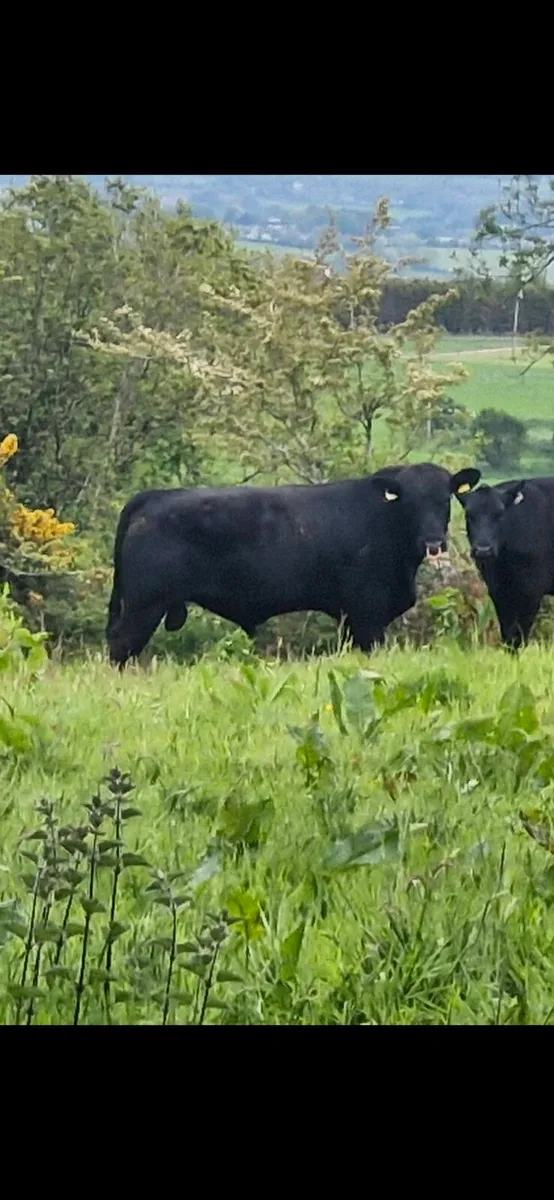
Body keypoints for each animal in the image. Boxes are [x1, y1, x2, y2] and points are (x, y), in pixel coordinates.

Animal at [106, 461, 481, 667]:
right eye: (410, 502)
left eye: (444, 499)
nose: (433, 542)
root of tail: (155, 496)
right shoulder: (366, 614)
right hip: (143, 606)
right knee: (120, 648)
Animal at [456, 477, 554, 649]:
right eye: (468, 515)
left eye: (499, 514)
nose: (483, 550)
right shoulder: (498, 590)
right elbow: (508, 634)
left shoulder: (532, 591)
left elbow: (520, 634)